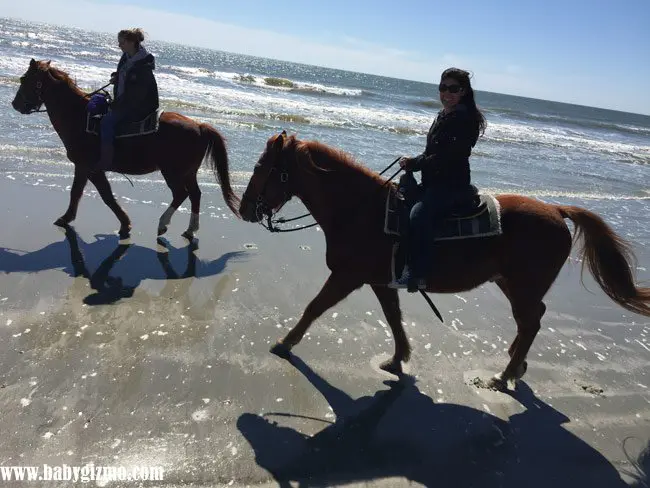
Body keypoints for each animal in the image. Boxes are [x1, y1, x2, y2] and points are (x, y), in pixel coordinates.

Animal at [10, 59, 238, 238]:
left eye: (24, 79)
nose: (15, 104)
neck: (79, 116)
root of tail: (199, 126)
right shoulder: (88, 169)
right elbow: (89, 193)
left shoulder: (87, 167)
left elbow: (95, 194)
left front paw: (121, 223)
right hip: (188, 172)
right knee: (195, 195)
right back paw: (190, 230)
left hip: (173, 172)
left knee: (180, 194)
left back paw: (163, 224)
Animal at [238, 132, 648, 390]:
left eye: (261, 168)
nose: (243, 209)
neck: (359, 209)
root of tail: (558, 211)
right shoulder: (380, 280)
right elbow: (394, 318)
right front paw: (398, 359)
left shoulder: (347, 276)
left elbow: (314, 307)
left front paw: (284, 343)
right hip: (511, 284)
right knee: (531, 321)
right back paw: (516, 364)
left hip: (522, 287)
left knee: (531, 322)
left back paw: (504, 375)